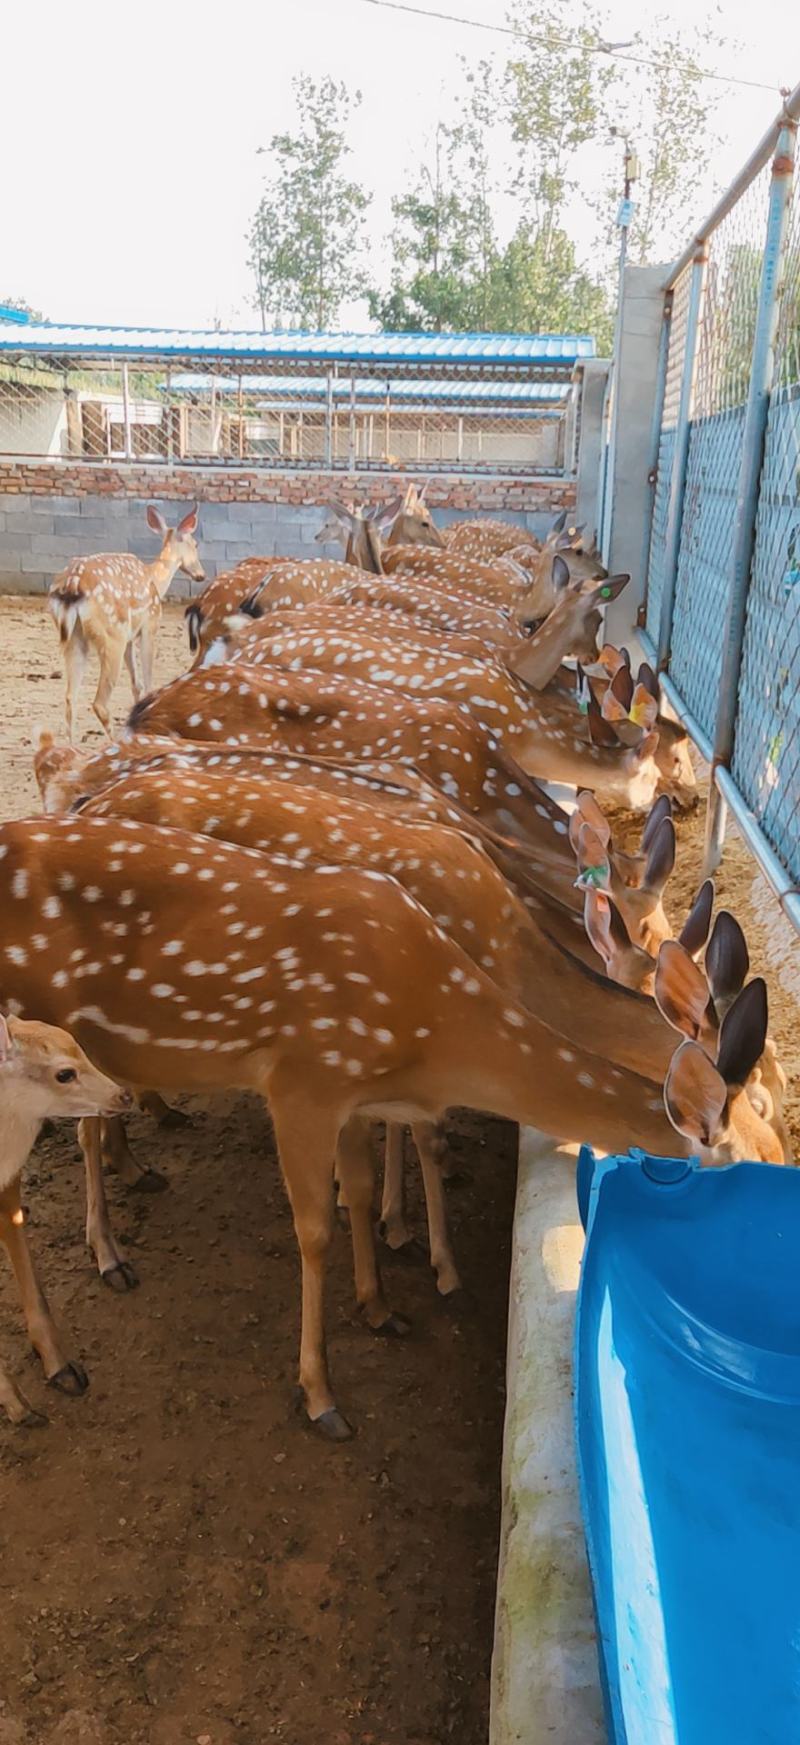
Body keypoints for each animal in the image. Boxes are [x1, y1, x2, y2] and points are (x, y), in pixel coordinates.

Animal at [48, 504, 205, 741]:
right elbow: (147, 682)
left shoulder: (131, 636)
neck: (156, 581)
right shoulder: (150, 624)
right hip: (112, 633)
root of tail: (72, 585)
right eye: (195, 544)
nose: (201, 575)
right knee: (99, 703)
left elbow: (136, 684)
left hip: (74, 637)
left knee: (69, 698)